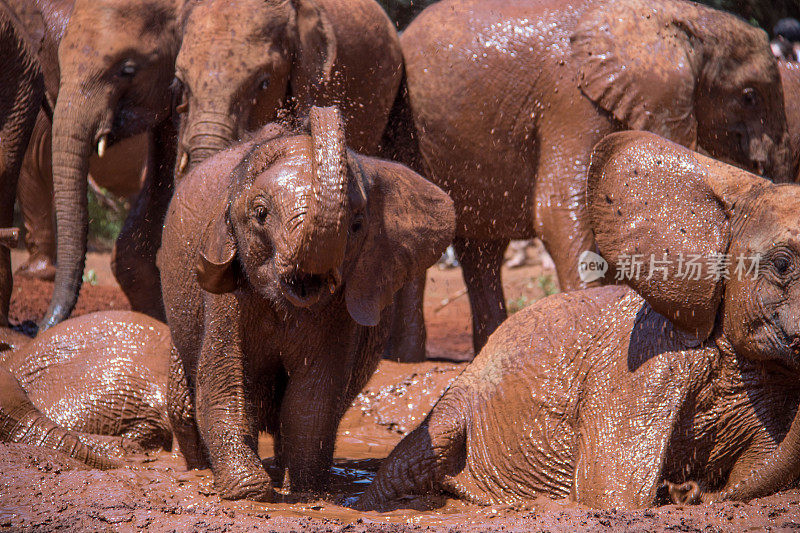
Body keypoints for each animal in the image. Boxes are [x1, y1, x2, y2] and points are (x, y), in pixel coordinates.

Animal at [159, 106, 454, 500]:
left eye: (357, 224)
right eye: (261, 214)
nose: (317, 112)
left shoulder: (340, 309)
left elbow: (311, 400)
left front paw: (307, 494)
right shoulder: (226, 294)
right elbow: (225, 384)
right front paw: (251, 493)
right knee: (181, 401)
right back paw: (200, 471)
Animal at [356, 131, 800, 510]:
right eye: (783, 264)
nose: (691, 492)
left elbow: (761, 462)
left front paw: (692, 491)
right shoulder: (639, 365)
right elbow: (611, 495)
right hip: (457, 400)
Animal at [392, 0, 792, 354]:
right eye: (749, 96)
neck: (673, 15)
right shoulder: (572, 98)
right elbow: (562, 209)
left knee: (482, 252)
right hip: (406, 125)